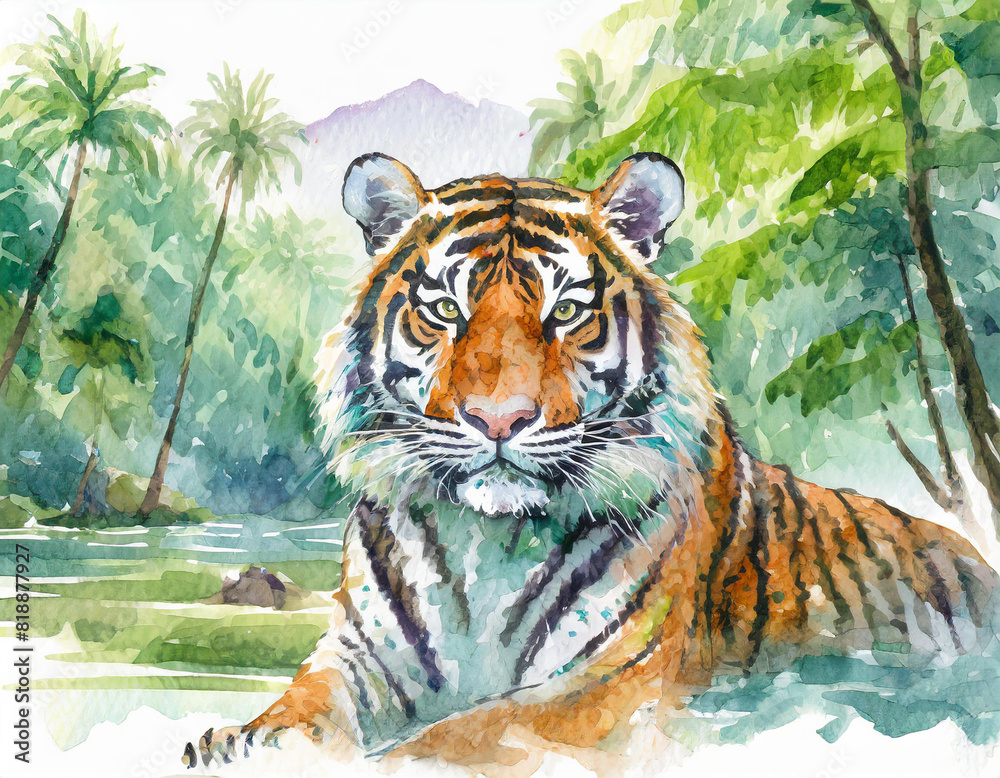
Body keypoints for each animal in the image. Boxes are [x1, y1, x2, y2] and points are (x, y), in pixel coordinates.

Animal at [185, 152, 1000, 772]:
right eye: (445, 311)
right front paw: (239, 742)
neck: (486, 542)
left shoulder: (614, 680)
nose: (499, 419)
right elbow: (302, 705)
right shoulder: (360, 655)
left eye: (567, 313)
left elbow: (467, 734)